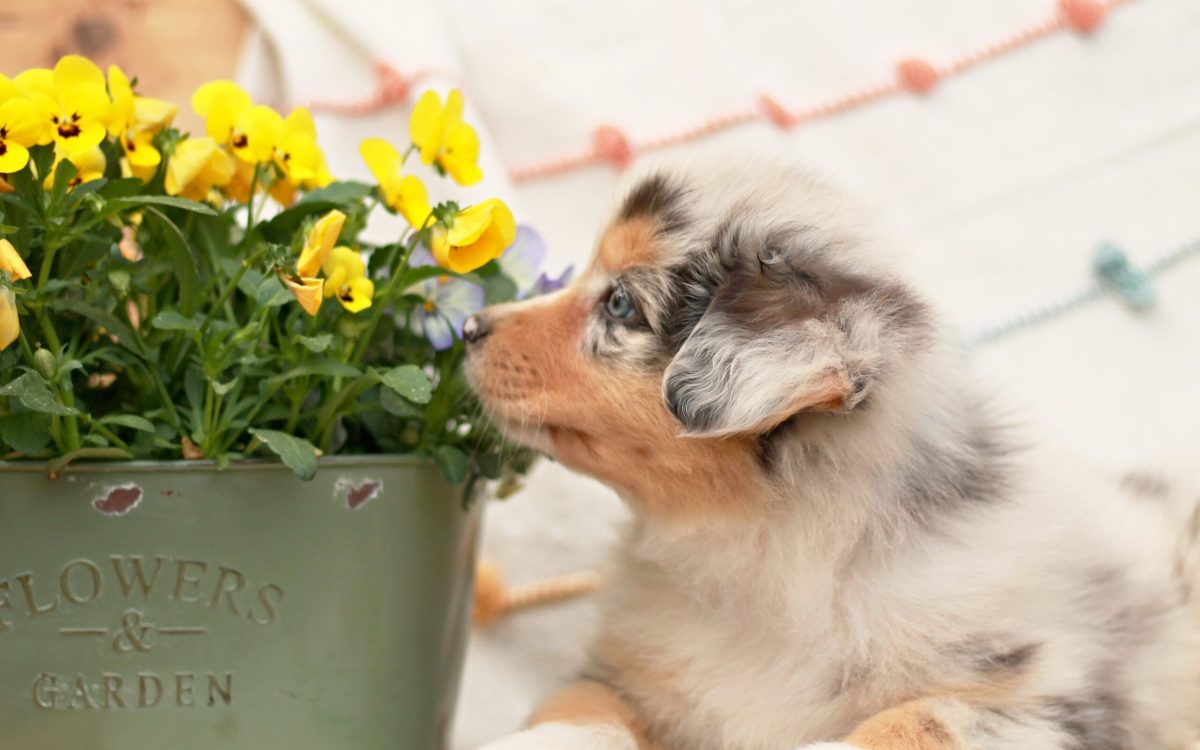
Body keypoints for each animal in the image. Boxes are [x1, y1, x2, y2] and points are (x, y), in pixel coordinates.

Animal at [463, 159, 1200, 748]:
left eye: (619, 303)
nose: (469, 326)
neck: (772, 546)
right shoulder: (629, 678)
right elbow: (580, 712)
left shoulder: (1055, 699)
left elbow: (914, 719)